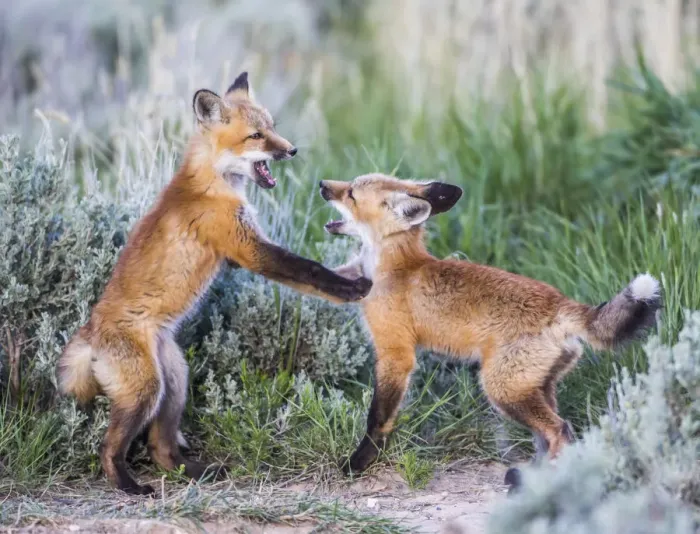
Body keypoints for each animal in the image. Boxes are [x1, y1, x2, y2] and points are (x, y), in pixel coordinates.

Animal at [57, 72, 372, 495]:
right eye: (256, 136)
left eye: (273, 127)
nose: (291, 150)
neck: (213, 182)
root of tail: (90, 330)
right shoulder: (247, 248)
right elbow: (308, 270)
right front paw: (349, 289)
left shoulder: (241, 250)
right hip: (145, 392)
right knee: (108, 448)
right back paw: (129, 486)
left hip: (174, 383)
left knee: (161, 448)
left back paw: (195, 472)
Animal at [318, 173, 661, 482]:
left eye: (350, 193)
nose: (322, 185)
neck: (393, 268)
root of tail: (562, 304)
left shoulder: (396, 353)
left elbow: (378, 418)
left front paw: (360, 462)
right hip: (534, 386)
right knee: (550, 433)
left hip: (501, 388)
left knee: (559, 430)